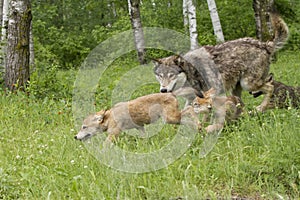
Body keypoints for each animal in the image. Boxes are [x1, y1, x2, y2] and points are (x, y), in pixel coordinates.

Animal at [154, 13, 290, 111]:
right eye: (160, 76)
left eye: (171, 75)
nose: (163, 90)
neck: (190, 72)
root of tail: (263, 44)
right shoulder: (191, 100)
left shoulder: (213, 93)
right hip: (238, 88)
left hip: (248, 84)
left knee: (270, 87)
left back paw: (260, 108)